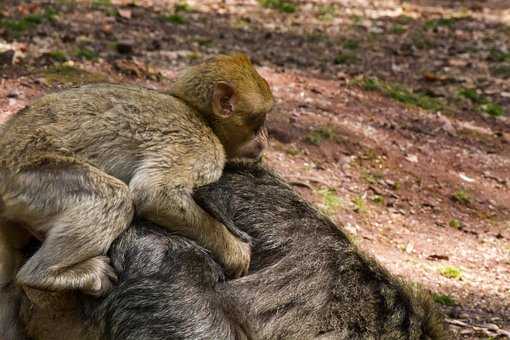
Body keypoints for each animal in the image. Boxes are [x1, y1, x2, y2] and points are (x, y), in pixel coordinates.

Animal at [0, 53, 272, 322]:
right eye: (260, 121)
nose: (266, 137)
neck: (203, 119)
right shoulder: (201, 146)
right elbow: (154, 194)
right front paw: (234, 251)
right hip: (28, 176)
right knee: (113, 198)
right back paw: (44, 274)